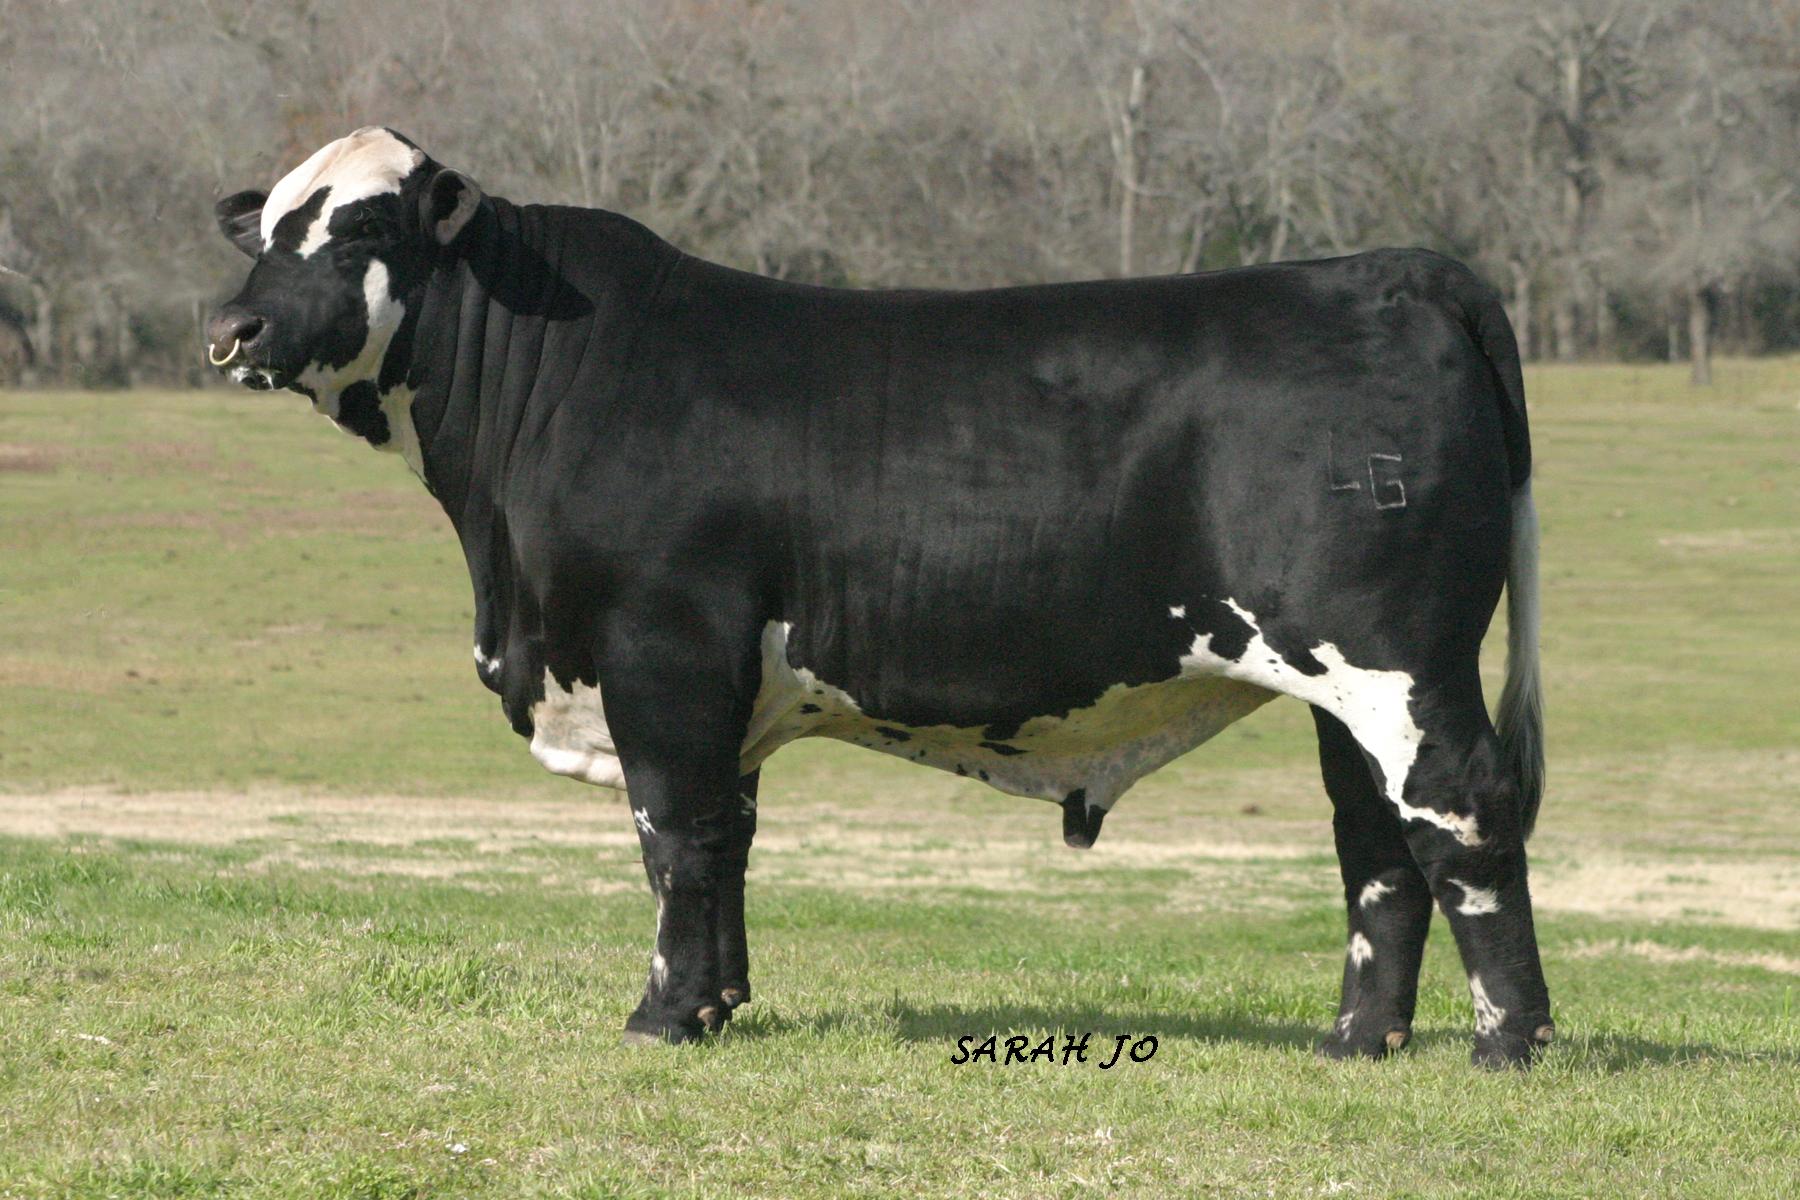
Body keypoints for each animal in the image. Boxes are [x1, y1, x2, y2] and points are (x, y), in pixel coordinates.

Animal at [206, 127, 1551, 1066]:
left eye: (360, 232)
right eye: (264, 233)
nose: (232, 330)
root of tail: (1391, 271)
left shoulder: (661, 650)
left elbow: (673, 835)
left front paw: (660, 1016)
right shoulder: (724, 679)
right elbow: (729, 837)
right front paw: (720, 1005)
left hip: (1398, 659)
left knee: (1463, 814)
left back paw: (1510, 1041)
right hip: (1344, 684)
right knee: (1377, 840)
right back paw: (1357, 1040)